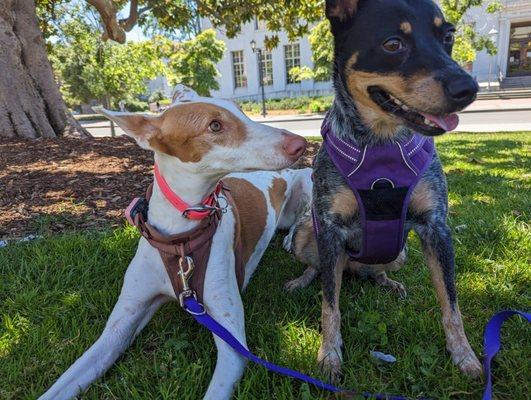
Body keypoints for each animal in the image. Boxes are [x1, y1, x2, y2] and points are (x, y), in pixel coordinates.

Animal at [40, 86, 312, 398]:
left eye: (241, 111)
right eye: (214, 126)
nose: (300, 143)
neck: (180, 239)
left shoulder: (233, 346)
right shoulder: (117, 330)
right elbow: (63, 383)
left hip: (307, 181)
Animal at [288, 0, 484, 382]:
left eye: (448, 36)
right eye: (393, 44)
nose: (468, 87)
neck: (381, 145)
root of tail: (352, 267)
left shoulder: (436, 228)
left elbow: (451, 302)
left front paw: (464, 356)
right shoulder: (329, 228)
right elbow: (329, 305)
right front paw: (329, 355)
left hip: (400, 252)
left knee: (375, 270)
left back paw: (388, 282)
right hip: (306, 232)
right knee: (322, 272)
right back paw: (303, 280)